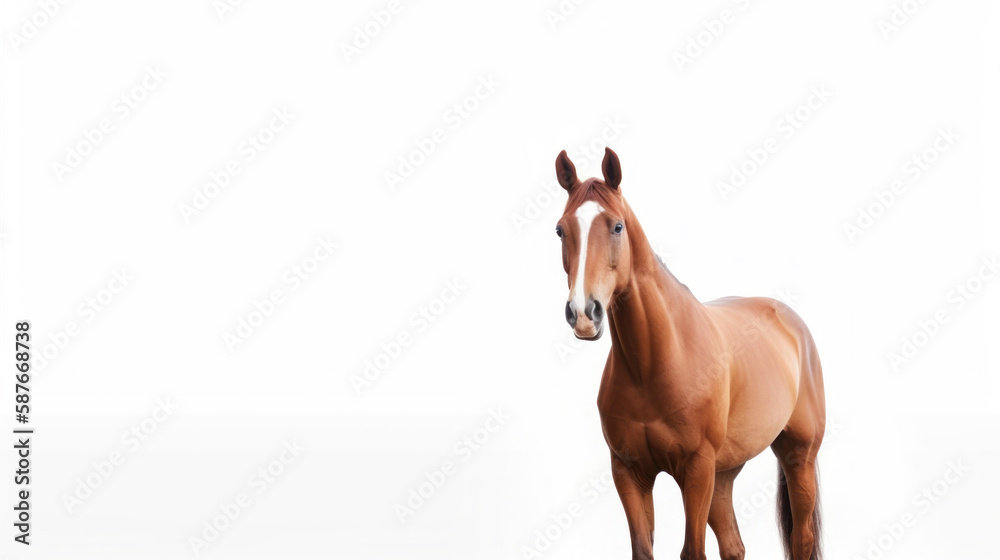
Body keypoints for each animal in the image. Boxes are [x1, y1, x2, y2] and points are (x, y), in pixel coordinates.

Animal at [552, 147, 826, 560]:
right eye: (560, 229)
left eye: (617, 227)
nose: (584, 313)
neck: (656, 363)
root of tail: (795, 327)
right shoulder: (629, 472)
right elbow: (643, 549)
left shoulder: (696, 469)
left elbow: (692, 551)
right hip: (724, 473)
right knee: (734, 546)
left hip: (798, 456)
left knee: (802, 540)